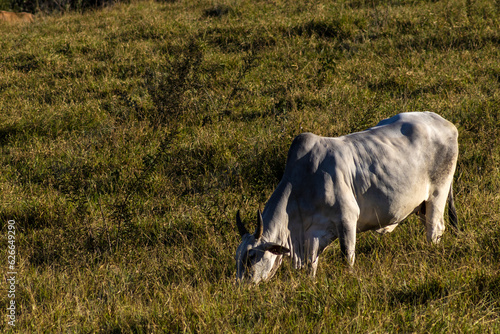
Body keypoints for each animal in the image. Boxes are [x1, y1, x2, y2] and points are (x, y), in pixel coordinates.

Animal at [236, 111, 458, 282]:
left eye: (252, 255)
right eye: (237, 256)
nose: (241, 287)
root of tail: (445, 123)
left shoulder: (347, 220)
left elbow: (347, 258)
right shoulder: (313, 235)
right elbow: (311, 267)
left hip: (438, 193)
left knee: (434, 230)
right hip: (422, 205)